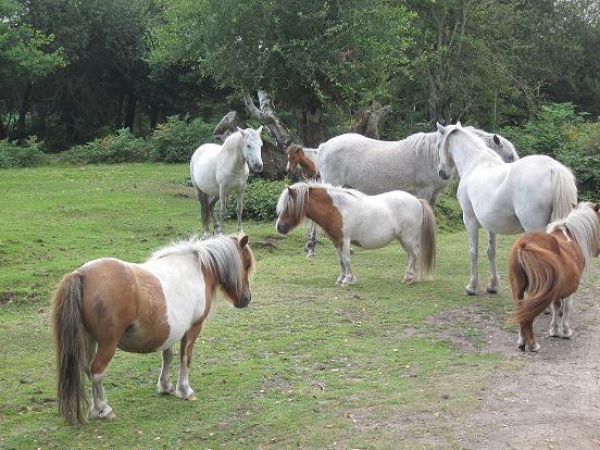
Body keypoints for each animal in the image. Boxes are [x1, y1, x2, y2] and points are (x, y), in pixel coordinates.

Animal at [51, 234, 255, 424]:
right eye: (246, 264)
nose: (246, 299)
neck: (197, 269)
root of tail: (81, 274)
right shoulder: (192, 328)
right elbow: (185, 358)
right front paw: (185, 390)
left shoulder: (172, 331)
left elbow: (168, 356)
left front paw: (165, 386)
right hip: (107, 344)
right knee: (96, 371)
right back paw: (104, 410)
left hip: (89, 339)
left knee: (87, 368)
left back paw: (95, 409)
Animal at [276, 182, 436, 284]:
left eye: (288, 207)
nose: (279, 227)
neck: (337, 209)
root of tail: (417, 200)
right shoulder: (336, 241)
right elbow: (341, 260)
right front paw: (341, 279)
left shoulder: (345, 240)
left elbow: (347, 259)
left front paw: (348, 280)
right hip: (403, 240)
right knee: (411, 256)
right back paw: (410, 276)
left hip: (408, 238)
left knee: (414, 254)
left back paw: (409, 278)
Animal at [436, 124, 576, 296]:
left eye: (438, 145)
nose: (441, 173)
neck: (475, 163)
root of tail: (552, 169)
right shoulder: (490, 225)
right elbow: (491, 251)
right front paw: (492, 286)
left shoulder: (469, 220)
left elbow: (474, 251)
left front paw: (472, 287)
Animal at [506, 202, 600, 354]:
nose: (598, 251)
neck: (570, 237)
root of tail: (524, 246)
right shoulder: (569, 289)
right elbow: (567, 307)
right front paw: (565, 331)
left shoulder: (557, 289)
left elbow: (556, 306)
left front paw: (554, 330)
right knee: (528, 316)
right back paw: (532, 345)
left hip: (518, 291)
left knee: (521, 313)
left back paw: (521, 342)